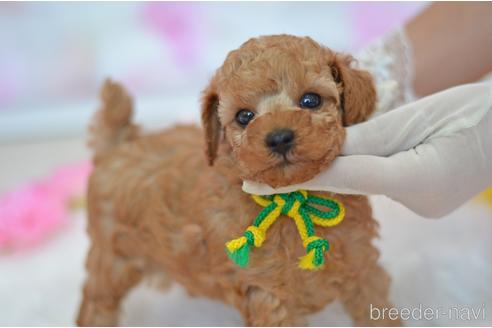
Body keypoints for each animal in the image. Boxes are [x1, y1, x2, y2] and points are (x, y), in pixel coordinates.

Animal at [76, 34, 400, 326]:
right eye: (244, 117)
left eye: (311, 100)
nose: (279, 137)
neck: (294, 199)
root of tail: (117, 145)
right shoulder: (267, 295)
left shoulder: (362, 268)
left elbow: (377, 312)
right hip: (110, 260)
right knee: (95, 304)